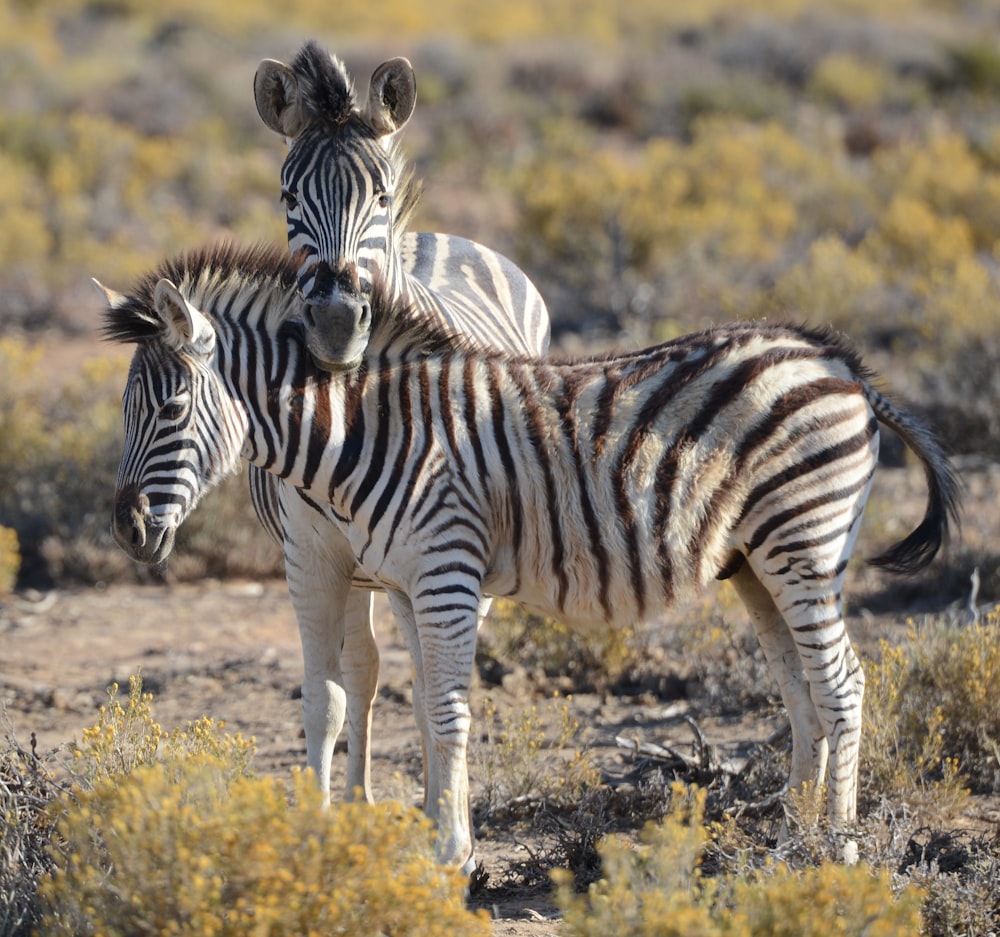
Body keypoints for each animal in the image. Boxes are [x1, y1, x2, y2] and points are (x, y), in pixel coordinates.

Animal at [99, 241, 960, 872]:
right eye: (127, 408)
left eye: (170, 406)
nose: (126, 529)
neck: (367, 429)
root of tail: (839, 362)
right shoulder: (401, 581)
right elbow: (405, 704)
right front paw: (423, 834)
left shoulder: (446, 569)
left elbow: (448, 711)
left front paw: (451, 853)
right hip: (755, 559)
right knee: (800, 686)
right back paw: (791, 835)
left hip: (805, 540)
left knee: (842, 683)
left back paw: (838, 850)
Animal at [245, 42, 552, 804]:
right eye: (288, 197)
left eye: (381, 196)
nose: (334, 322)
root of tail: (437, 239)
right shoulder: (311, 556)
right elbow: (325, 699)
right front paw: (326, 815)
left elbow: (432, 691)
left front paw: (445, 809)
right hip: (364, 572)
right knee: (367, 668)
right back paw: (362, 797)